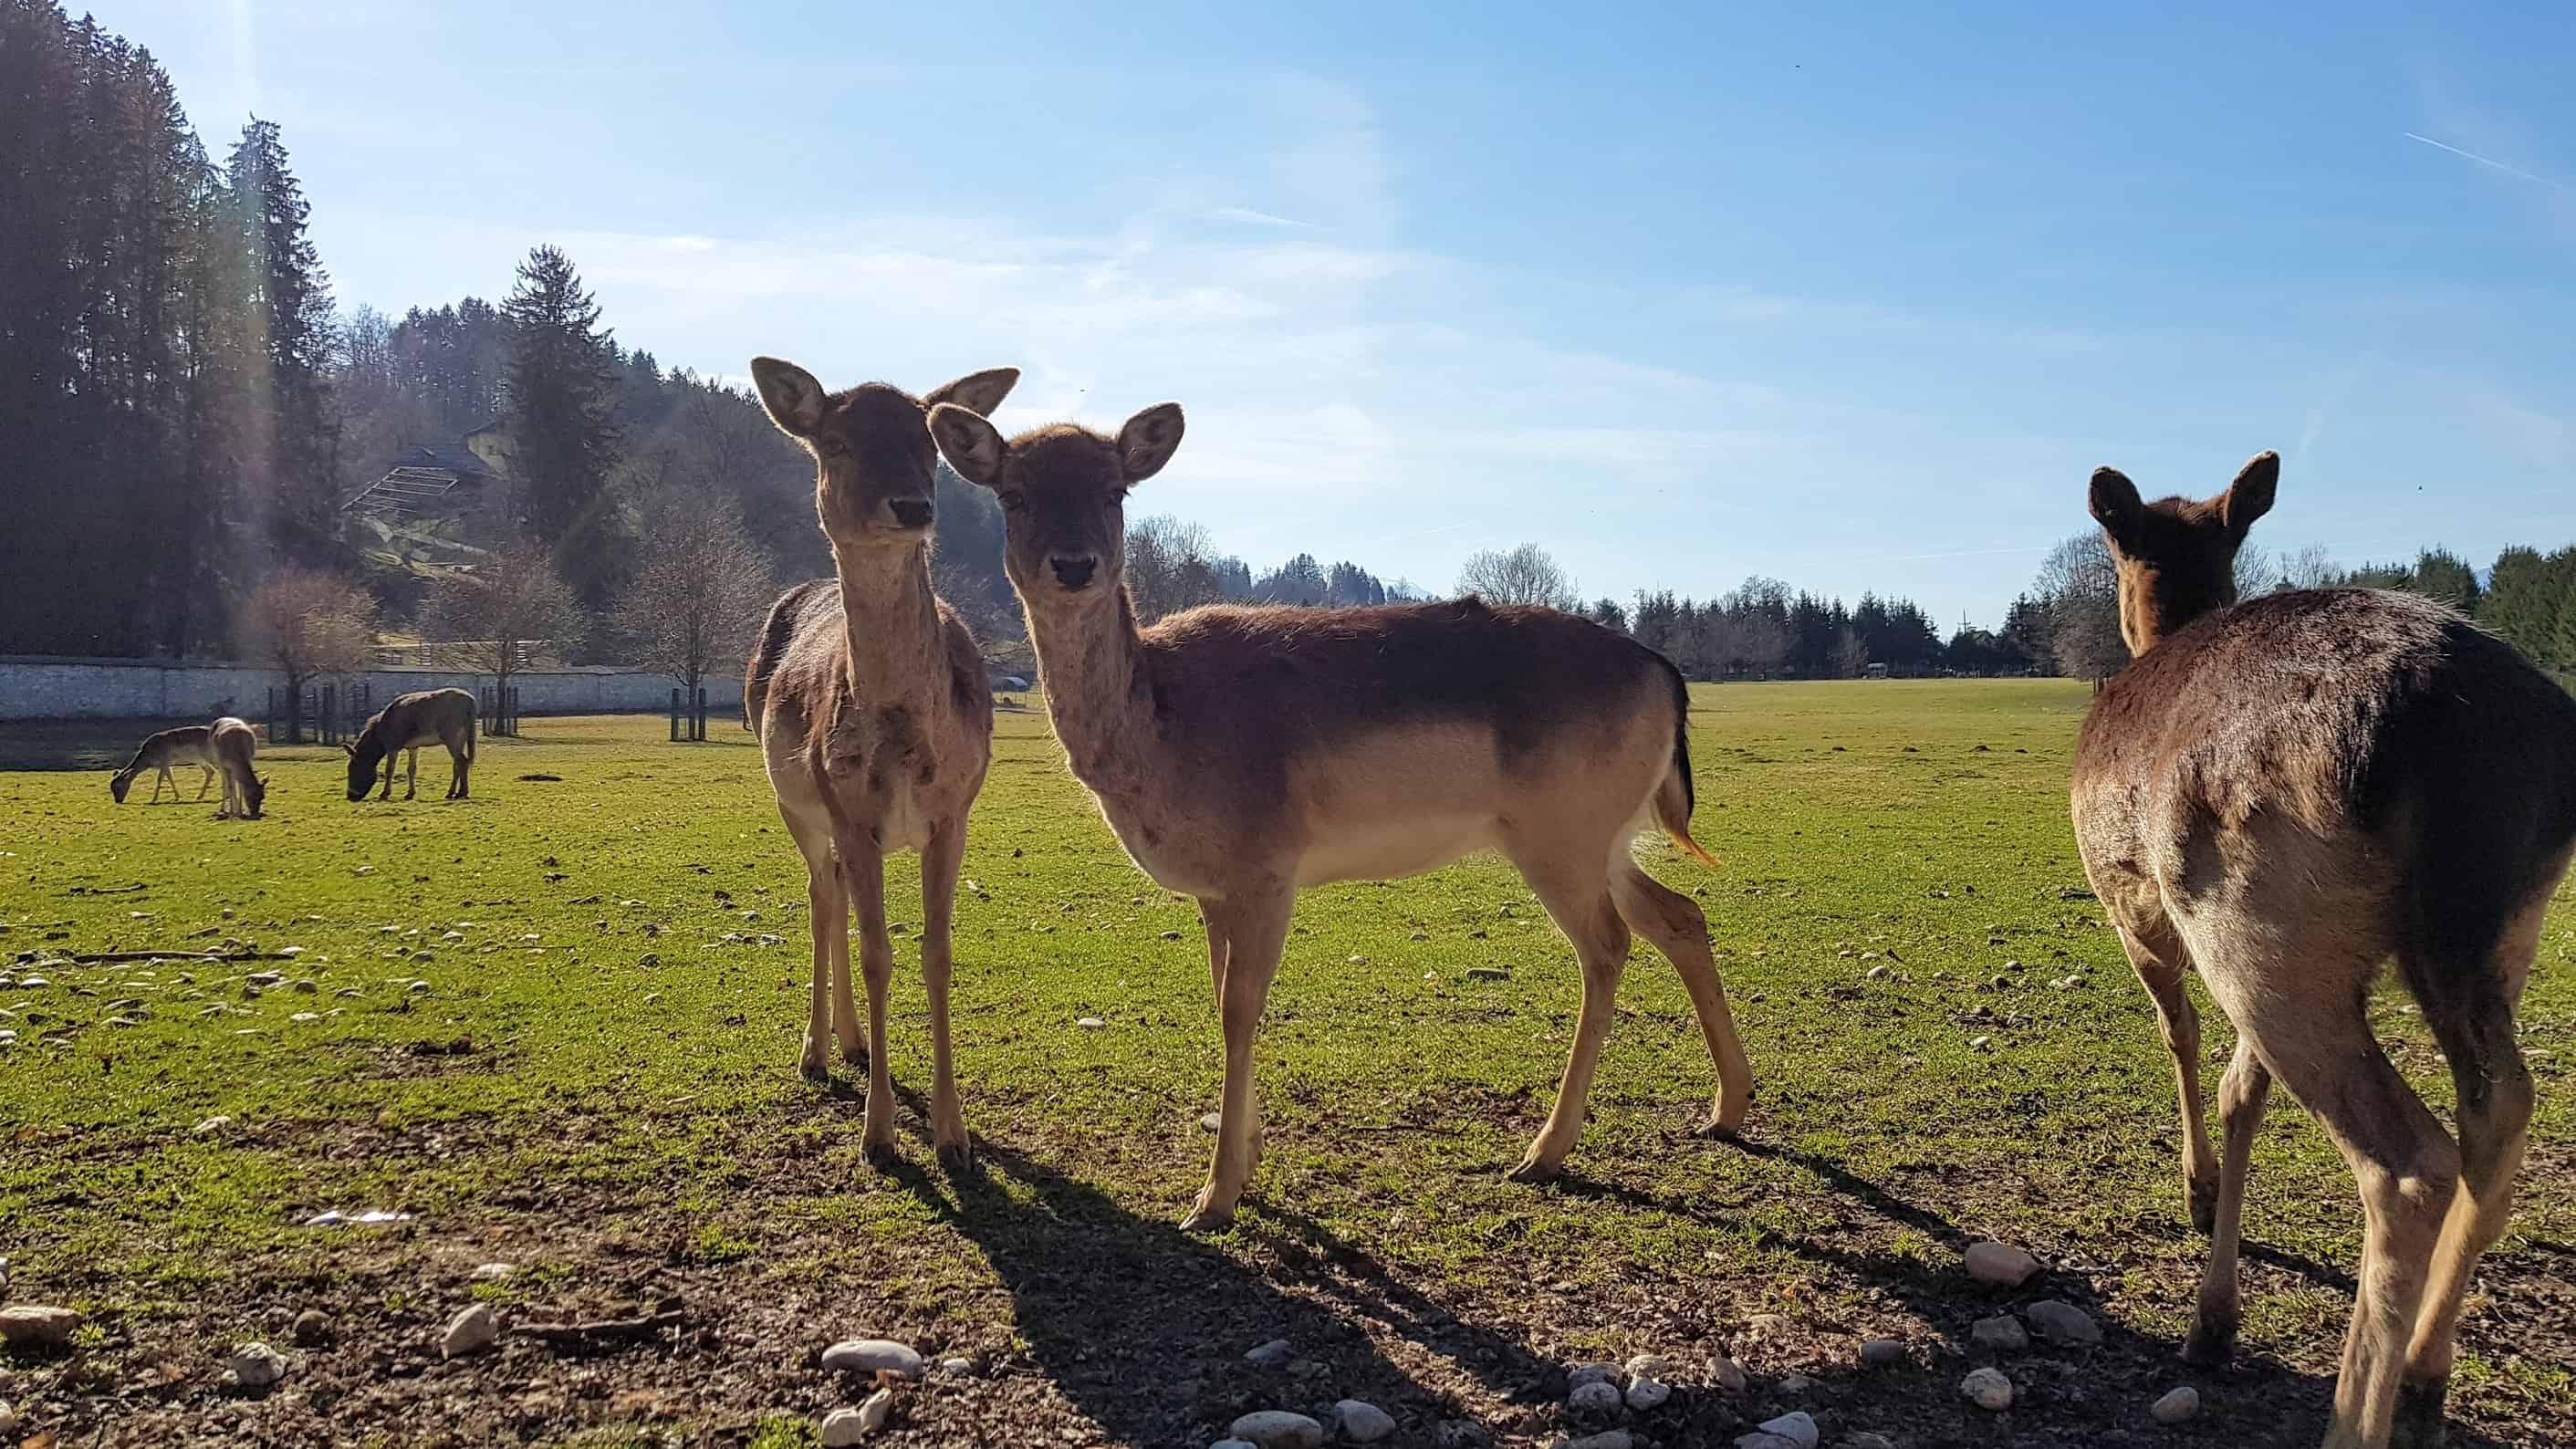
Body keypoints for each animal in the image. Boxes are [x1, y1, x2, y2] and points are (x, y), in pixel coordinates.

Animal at [348, 689, 479, 803]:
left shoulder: (392, 748)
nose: (350, 797)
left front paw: (384, 794)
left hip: (452, 739)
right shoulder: (413, 748)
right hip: (460, 739)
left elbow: (389, 770)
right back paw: (451, 793)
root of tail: (470, 701)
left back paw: (462, 793)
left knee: (462, 762)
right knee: (458, 764)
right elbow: (411, 769)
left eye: (353, 769)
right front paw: (410, 794)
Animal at [746, 355, 1015, 1168]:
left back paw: (851, 1042)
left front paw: (954, 1134)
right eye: (835, 442)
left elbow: (935, 953)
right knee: (819, 897)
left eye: (928, 441)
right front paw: (880, 1133)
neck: (902, 738)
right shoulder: (849, 812)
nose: (912, 504)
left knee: (830, 894)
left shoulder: (955, 812)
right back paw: (817, 1050)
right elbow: (876, 956)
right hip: (796, 806)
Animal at [2070, 453, 2576, 1449]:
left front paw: (2199, 1216)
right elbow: (2244, 1088)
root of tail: (2456, 734)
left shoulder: (2132, 906)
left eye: (2114, 552)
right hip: (2494, 931)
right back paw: (2422, 1377)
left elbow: (2183, 1038)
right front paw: (2212, 1300)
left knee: (2408, 1164)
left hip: (2250, 916)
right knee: (2502, 1108)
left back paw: (2356, 1412)